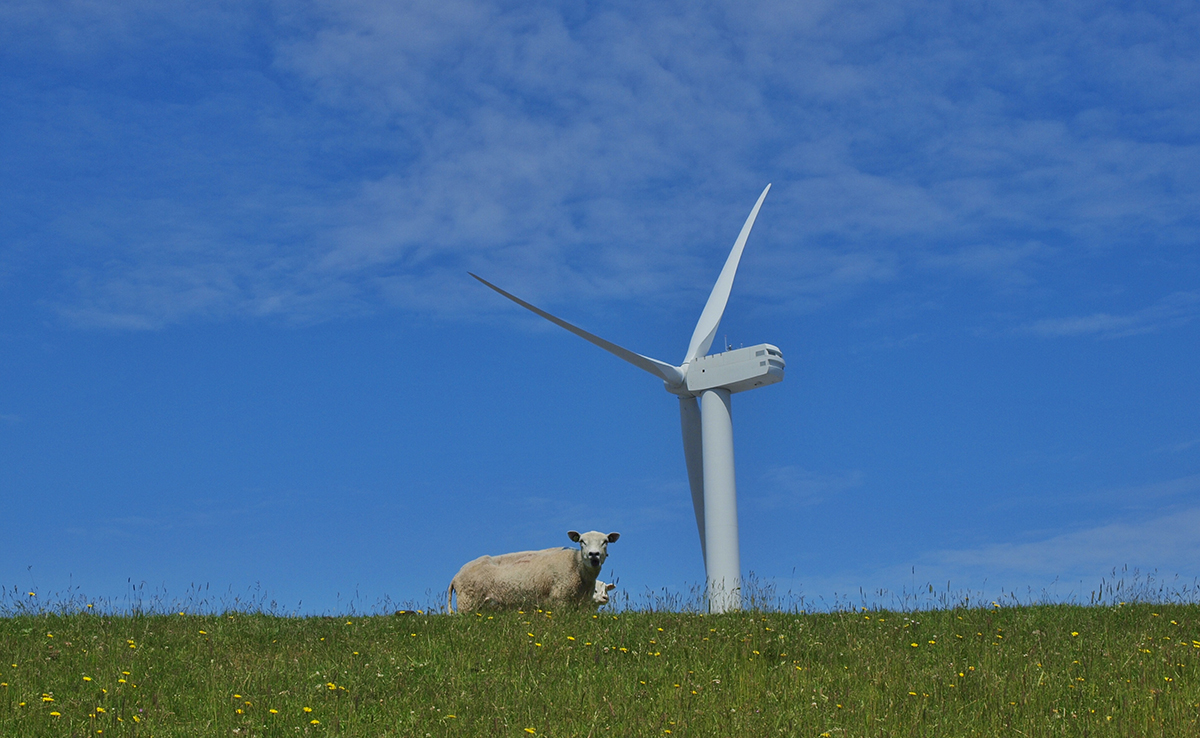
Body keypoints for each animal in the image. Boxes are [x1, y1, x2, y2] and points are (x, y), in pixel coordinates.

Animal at [448, 528, 619, 614]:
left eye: (605, 542)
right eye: (582, 541)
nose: (593, 555)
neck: (576, 565)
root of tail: (456, 576)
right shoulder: (560, 601)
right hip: (467, 603)